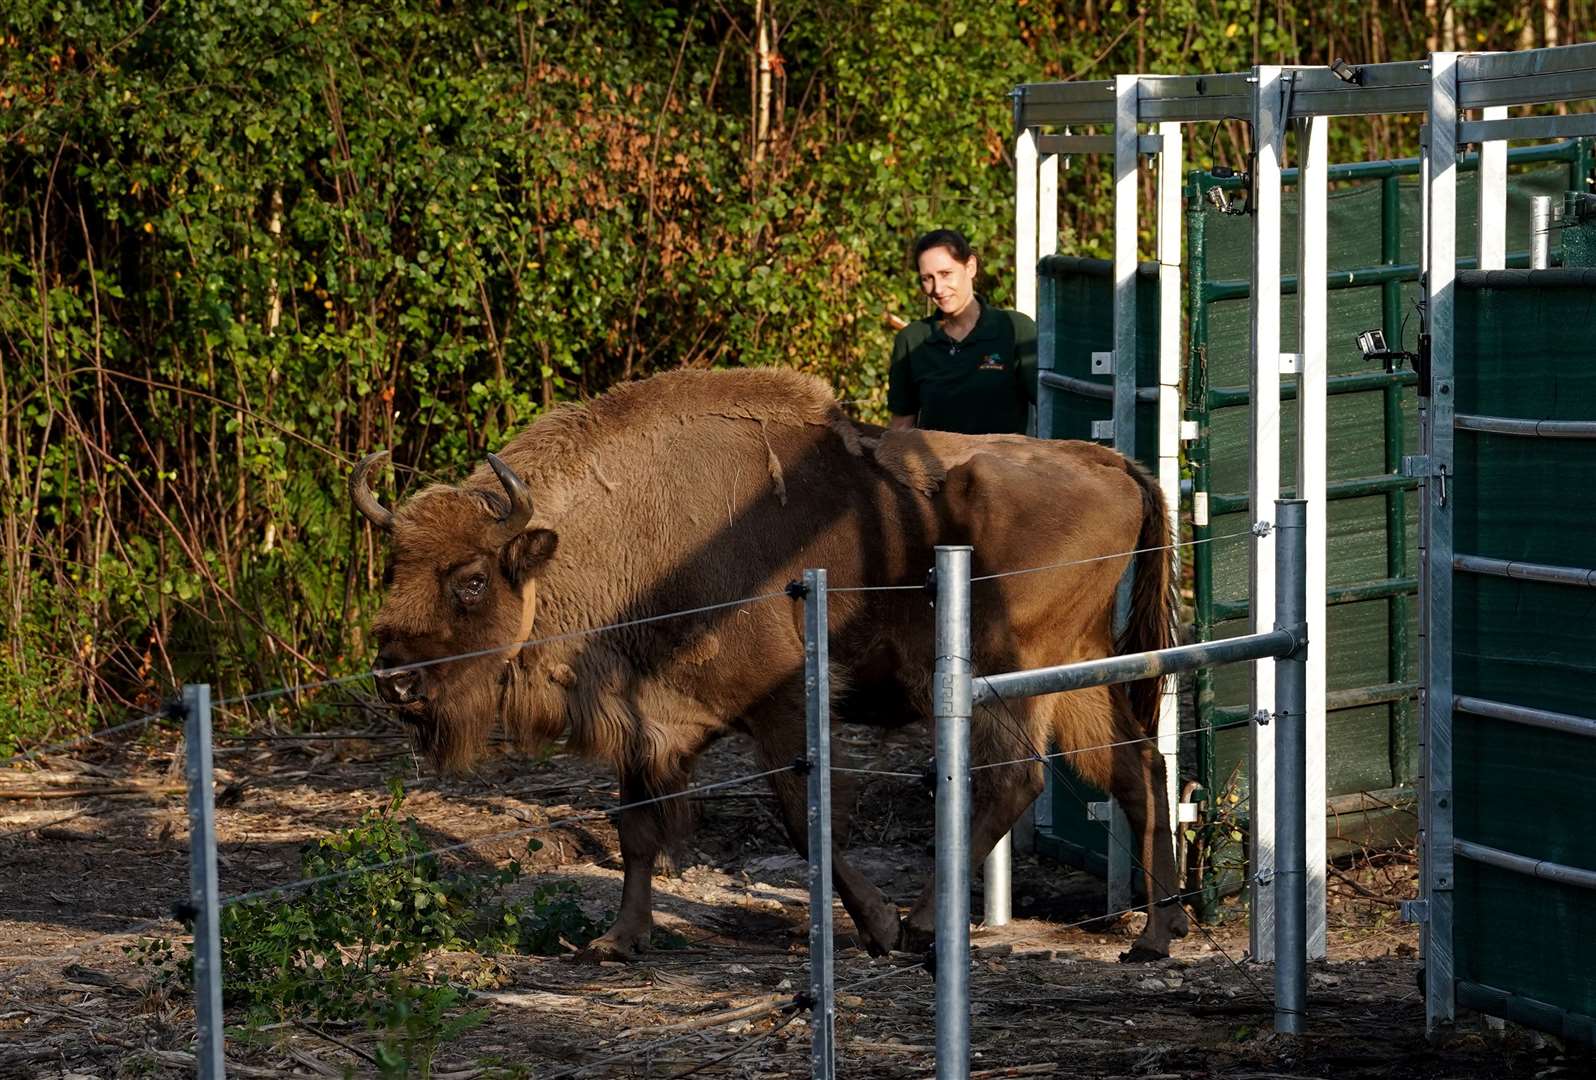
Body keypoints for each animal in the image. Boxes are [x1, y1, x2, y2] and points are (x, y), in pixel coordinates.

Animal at [355, 363, 1193, 963]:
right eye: (395, 567)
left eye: (470, 579)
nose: (395, 680)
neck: (625, 533)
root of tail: (1110, 463)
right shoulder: (639, 718)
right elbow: (636, 828)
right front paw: (616, 940)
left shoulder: (781, 705)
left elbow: (803, 818)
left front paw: (878, 927)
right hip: (1076, 671)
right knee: (1136, 768)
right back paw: (1153, 938)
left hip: (1005, 672)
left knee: (1015, 780)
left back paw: (925, 926)